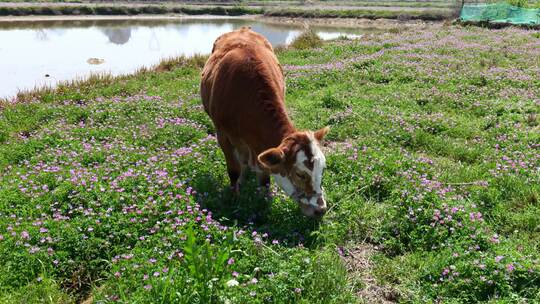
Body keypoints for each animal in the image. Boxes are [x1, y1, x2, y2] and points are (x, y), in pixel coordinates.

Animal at [200, 27, 330, 218]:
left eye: (323, 169)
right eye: (300, 174)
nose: (320, 210)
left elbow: (264, 179)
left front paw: (264, 201)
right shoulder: (222, 134)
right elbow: (233, 170)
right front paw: (235, 197)